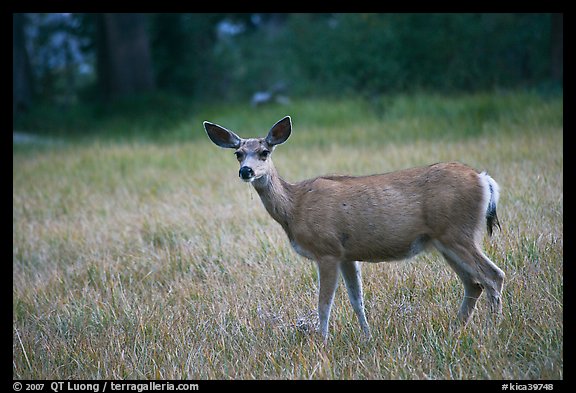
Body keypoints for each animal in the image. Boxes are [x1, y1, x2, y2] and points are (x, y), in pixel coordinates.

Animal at [202, 114, 504, 340]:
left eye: (264, 152)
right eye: (238, 154)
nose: (246, 171)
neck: (295, 206)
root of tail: (485, 180)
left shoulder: (327, 250)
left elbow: (324, 303)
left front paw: (322, 341)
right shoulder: (348, 255)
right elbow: (356, 299)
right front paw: (367, 336)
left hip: (457, 233)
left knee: (493, 276)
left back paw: (492, 331)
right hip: (445, 240)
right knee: (473, 283)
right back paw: (455, 329)